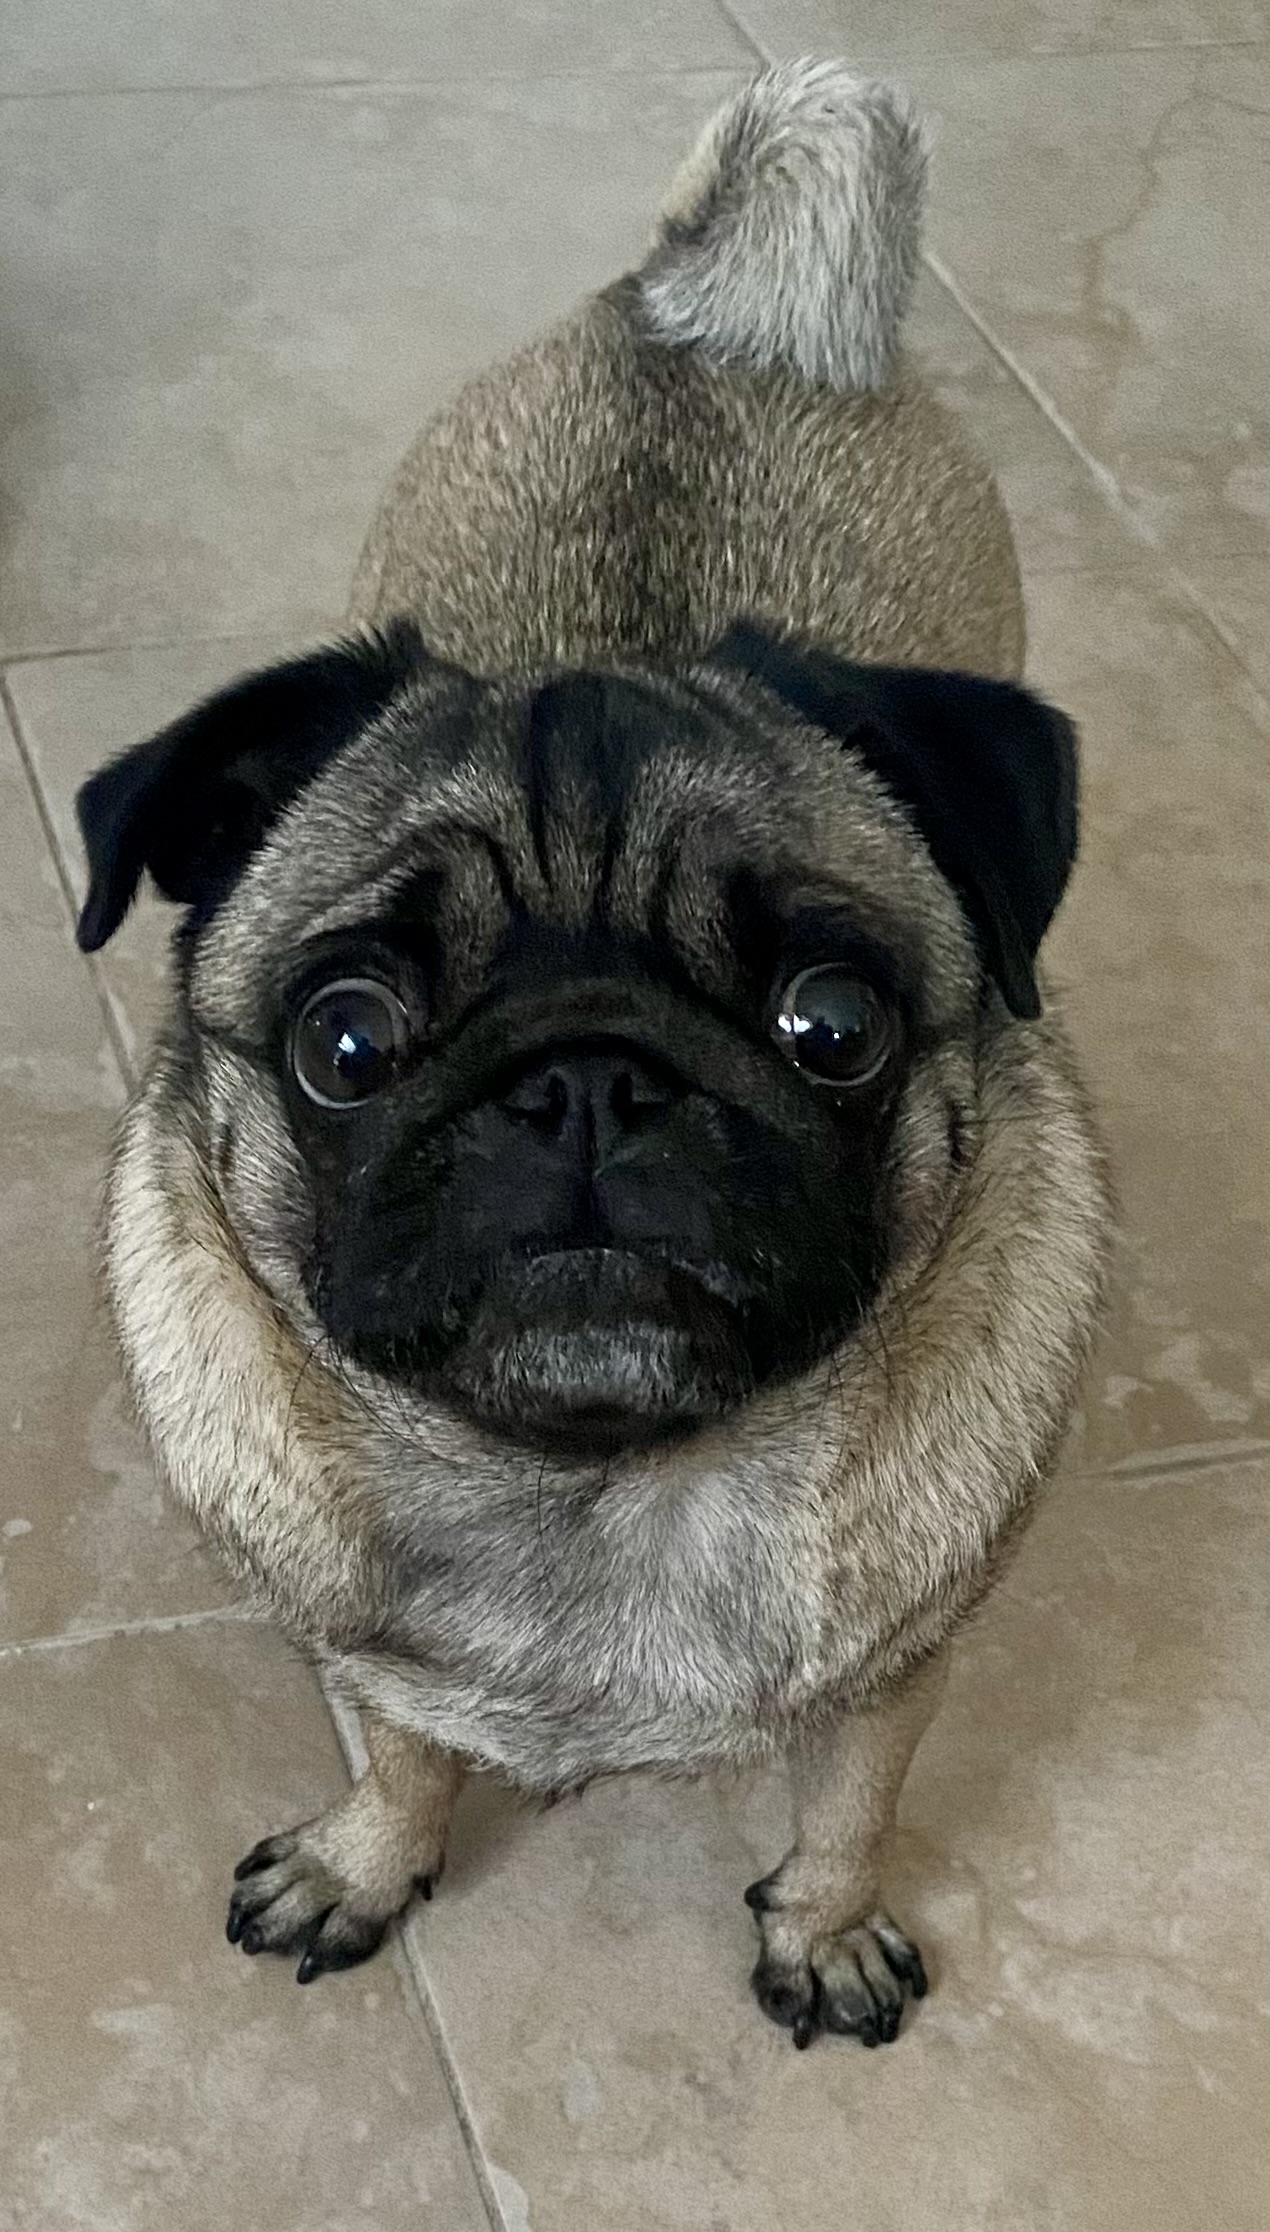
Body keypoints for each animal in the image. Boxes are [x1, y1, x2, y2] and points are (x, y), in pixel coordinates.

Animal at [75, 61, 1110, 2050]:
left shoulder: (910, 1658)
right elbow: (405, 1750)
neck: (599, 1488)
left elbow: (852, 1798)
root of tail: (702, 315)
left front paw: (824, 1928)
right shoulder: (363, 1647)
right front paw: (367, 1865)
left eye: (831, 1025)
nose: (587, 1081)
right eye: (345, 1040)